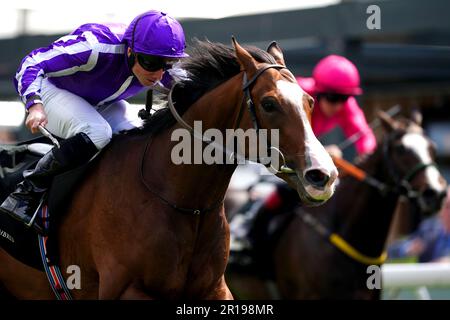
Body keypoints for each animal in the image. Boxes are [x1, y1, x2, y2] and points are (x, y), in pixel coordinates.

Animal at [0, 38, 338, 298]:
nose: (323, 176)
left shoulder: (214, 289)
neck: (181, 199)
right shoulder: (127, 289)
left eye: (309, 101)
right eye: (269, 104)